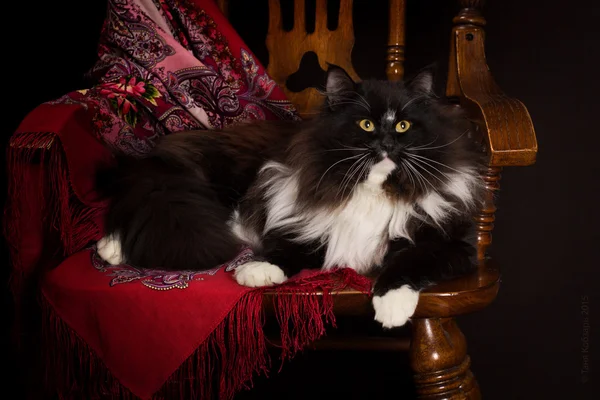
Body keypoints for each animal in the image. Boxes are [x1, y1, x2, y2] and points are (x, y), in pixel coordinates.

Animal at [96, 65, 486, 328]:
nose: (388, 144)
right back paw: (110, 248)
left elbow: (408, 262)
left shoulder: (451, 243)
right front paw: (258, 271)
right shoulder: (308, 222)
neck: (373, 191)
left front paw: (391, 306)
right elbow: (290, 250)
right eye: (366, 125)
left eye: (403, 126)